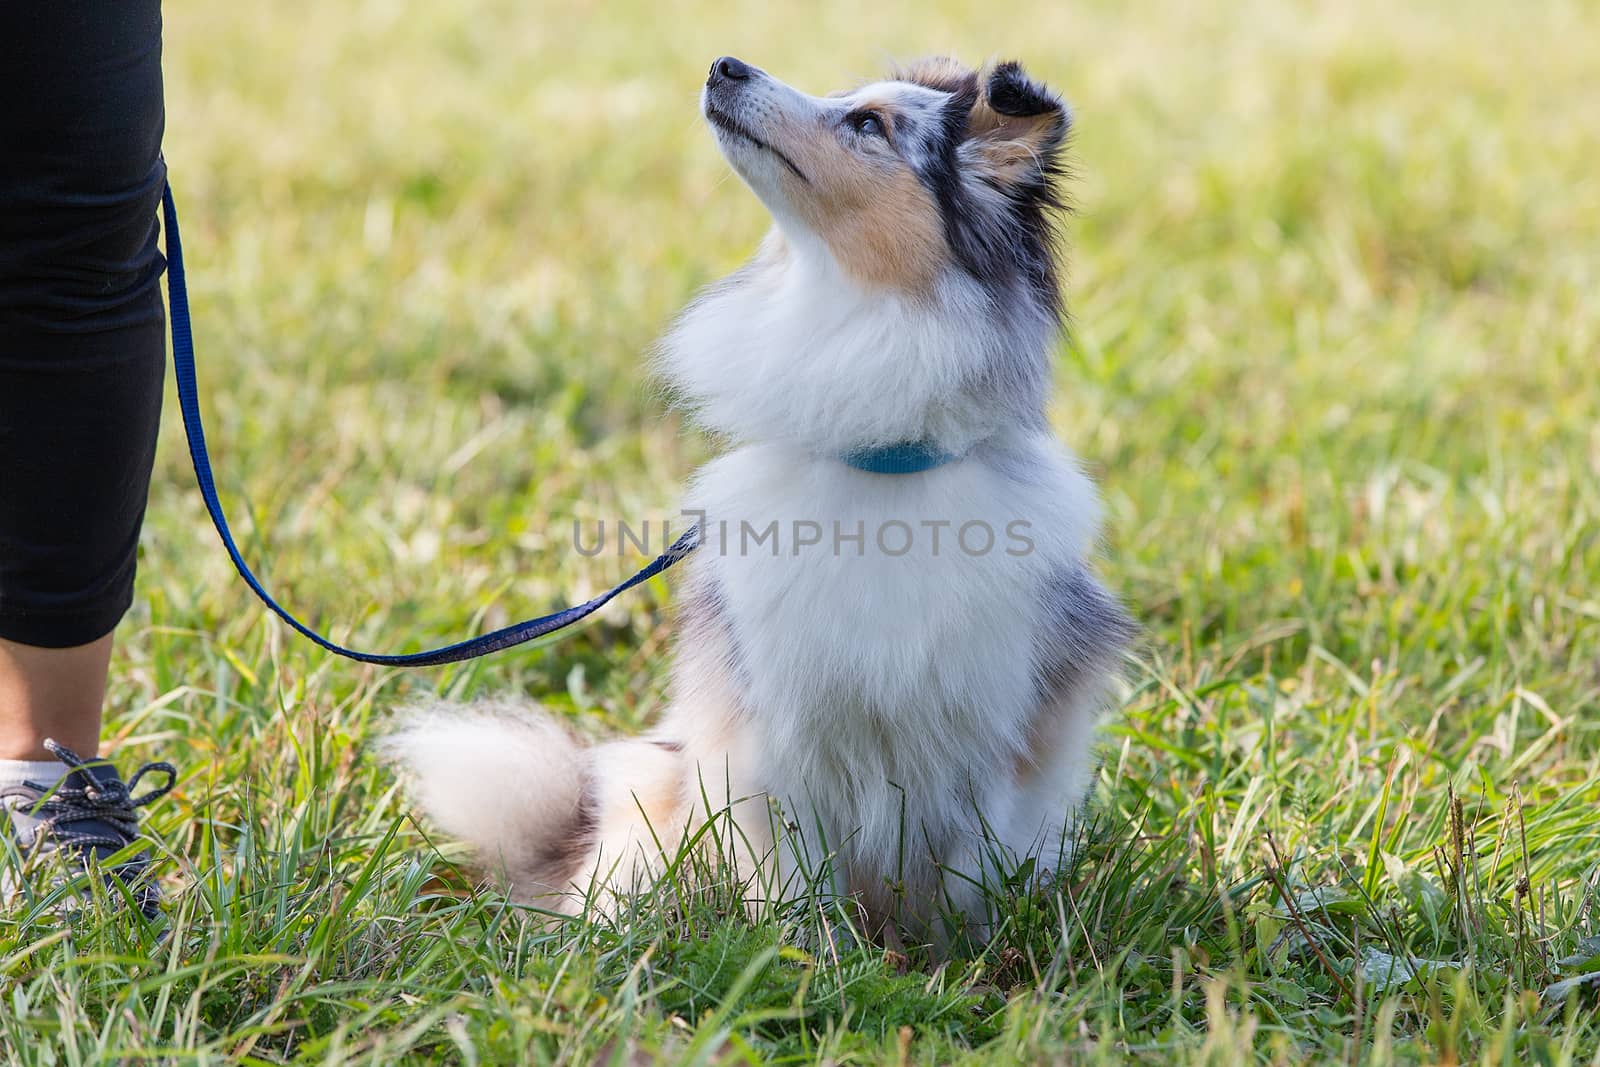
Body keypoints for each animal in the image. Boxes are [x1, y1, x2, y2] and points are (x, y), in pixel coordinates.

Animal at [388, 54, 1132, 947]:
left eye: (869, 124)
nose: (725, 65)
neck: (882, 461)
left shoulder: (992, 733)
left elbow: (966, 877)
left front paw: (964, 964)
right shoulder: (776, 736)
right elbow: (795, 883)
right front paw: (811, 960)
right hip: (652, 798)